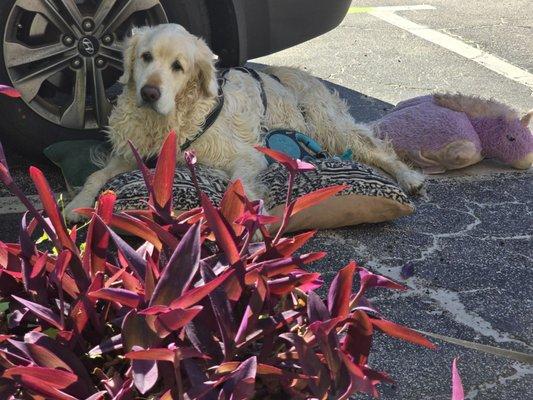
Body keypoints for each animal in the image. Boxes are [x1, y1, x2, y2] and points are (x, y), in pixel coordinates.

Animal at [64, 23, 422, 223]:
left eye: (178, 66)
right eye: (146, 57)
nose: (149, 92)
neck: (166, 121)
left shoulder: (246, 154)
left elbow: (238, 183)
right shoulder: (129, 154)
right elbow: (96, 176)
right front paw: (78, 204)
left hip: (329, 126)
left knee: (378, 150)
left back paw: (410, 178)